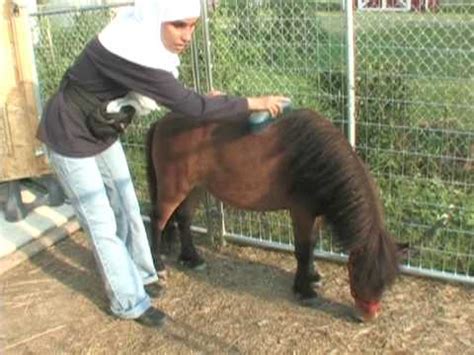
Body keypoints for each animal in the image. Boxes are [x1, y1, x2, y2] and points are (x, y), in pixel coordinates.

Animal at [145, 109, 400, 322]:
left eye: (385, 282)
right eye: (358, 273)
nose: (366, 316)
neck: (316, 159)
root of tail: (163, 121)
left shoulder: (315, 214)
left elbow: (312, 245)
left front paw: (312, 276)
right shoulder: (301, 212)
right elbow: (302, 250)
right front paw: (304, 290)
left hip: (195, 188)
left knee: (184, 219)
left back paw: (191, 258)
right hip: (173, 190)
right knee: (157, 221)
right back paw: (158, 267)